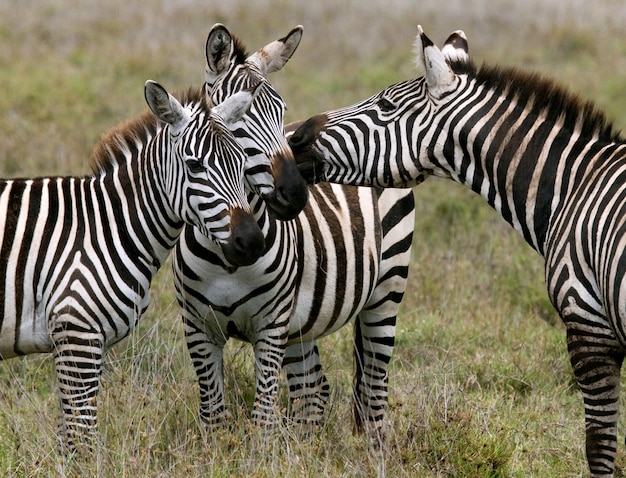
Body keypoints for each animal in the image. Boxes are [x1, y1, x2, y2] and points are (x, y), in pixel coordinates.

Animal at [0, 78, 262, 452]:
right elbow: (82, 440)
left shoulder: (77, 343)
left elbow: (69, 441)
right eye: (195, 166)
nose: (251, 243)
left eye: (242, 163)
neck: (107, 226)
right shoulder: (77, 335)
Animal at [172, 24, 414, 440]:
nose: (297, 192)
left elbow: (263, 419)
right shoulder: (198, 328)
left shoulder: (270, 327)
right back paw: (307, 446)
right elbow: (213, 416)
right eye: (235, 120)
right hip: (302, 323)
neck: (227, 259)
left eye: (280, 111)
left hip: (386, 290)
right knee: (313, 388)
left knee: (373, 391)